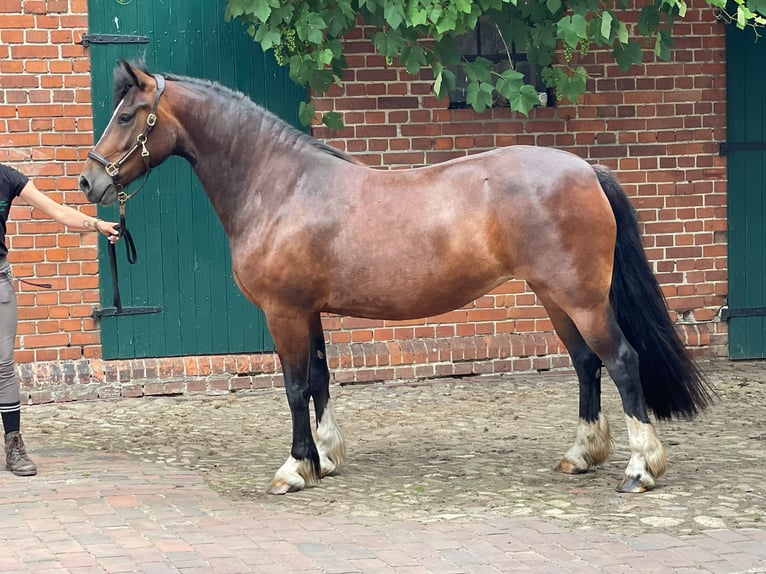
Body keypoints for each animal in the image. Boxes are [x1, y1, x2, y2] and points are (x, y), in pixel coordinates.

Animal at [79, 60, 713, 495]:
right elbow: (320, 379)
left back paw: (640, 468)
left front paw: (295, 468)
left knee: (622, 362)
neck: (281, 186)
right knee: (586, 364)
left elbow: (293, 387)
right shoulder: (309, 311)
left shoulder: (284, 311)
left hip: (581, 297)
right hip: (555, 297)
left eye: (127, 115)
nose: (90, 183)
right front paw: (326, 458)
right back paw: (581, 455)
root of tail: (586, 168)